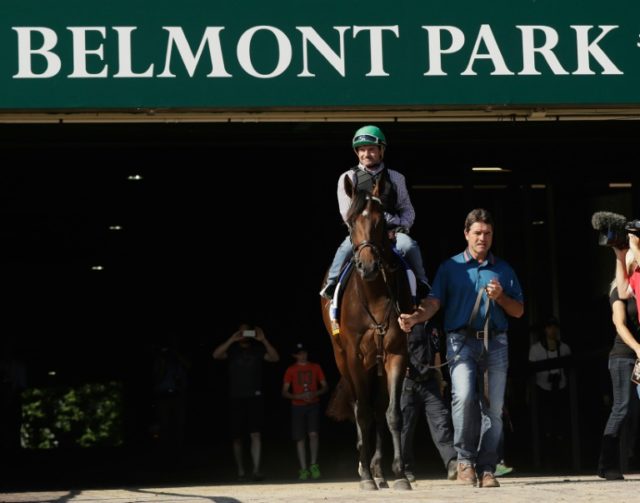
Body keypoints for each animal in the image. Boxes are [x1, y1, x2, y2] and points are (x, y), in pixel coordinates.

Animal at [322, 174, 412, 492]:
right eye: (350, 222)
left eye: (380, 221)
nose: (368, 265)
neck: (372, 295)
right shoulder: (353, 358)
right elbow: (361, 413)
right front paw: (365, 478)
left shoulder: (396, 354)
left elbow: (392, 413)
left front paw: (399, 473)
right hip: (344, 361)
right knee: (359, 407)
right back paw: (366, 468)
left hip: (378, 363)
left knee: (378, 408)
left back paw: (379, 470)